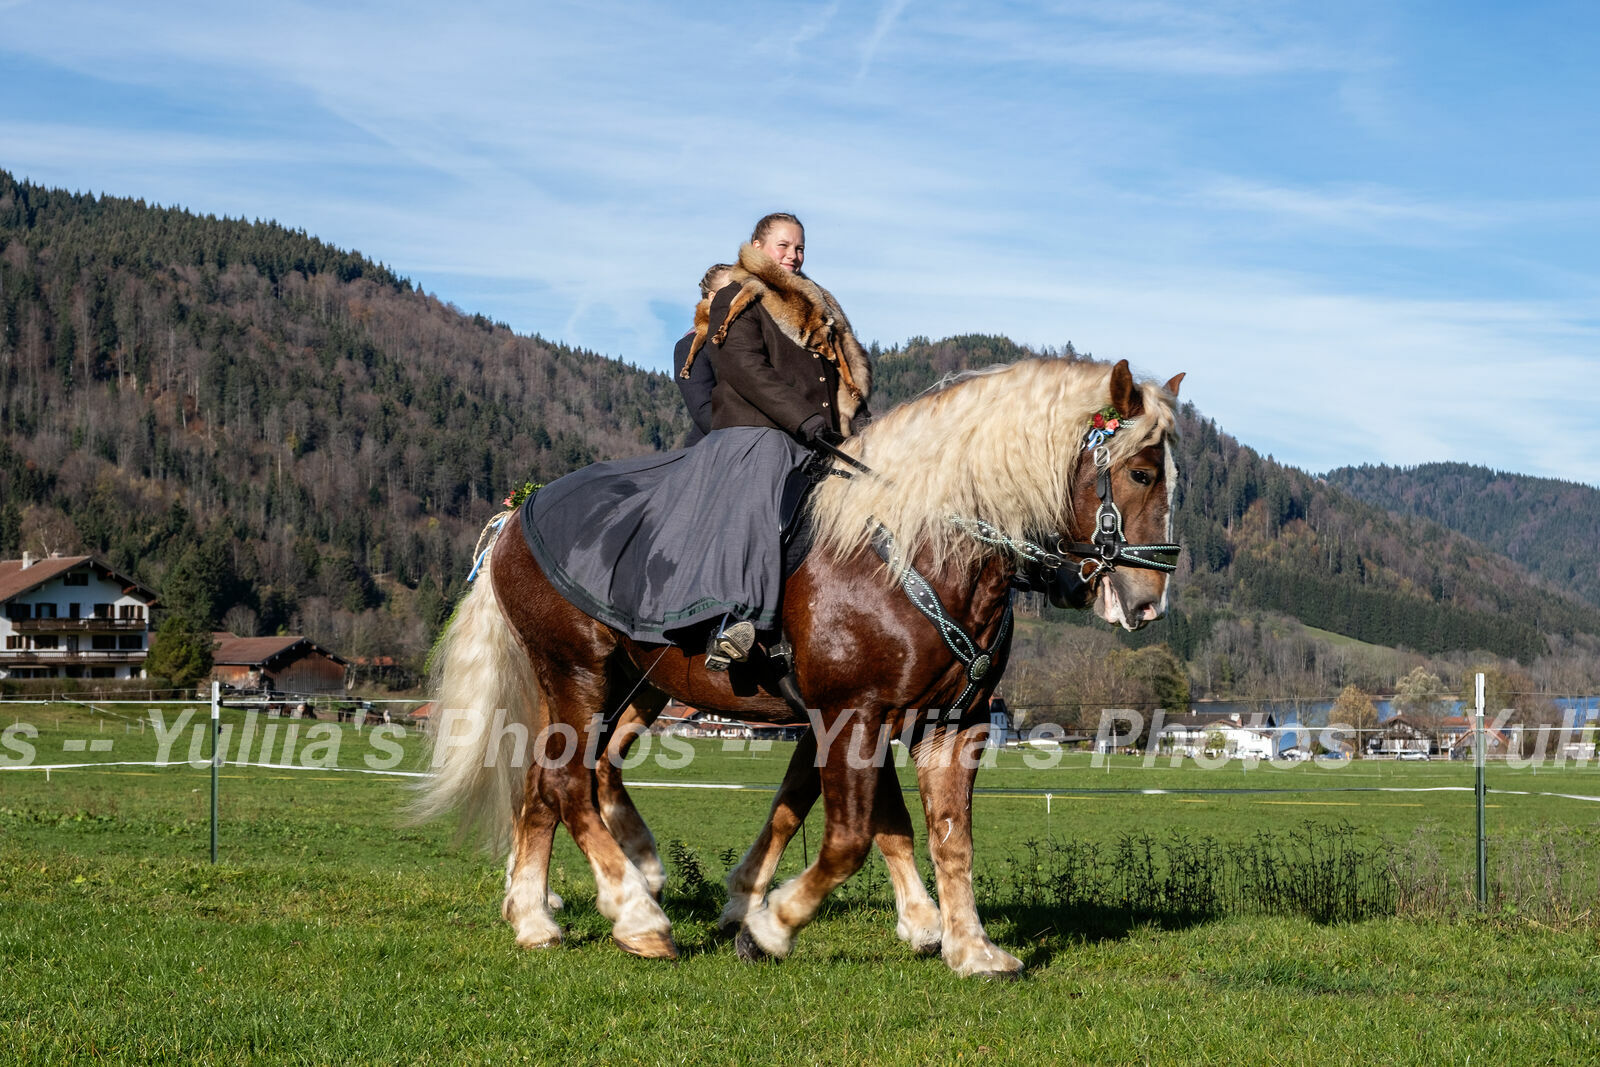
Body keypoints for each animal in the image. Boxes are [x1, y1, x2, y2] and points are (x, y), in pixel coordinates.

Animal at [419, 356, 1184, 979]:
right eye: (1142, 473)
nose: (1149, 600)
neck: (919, 551)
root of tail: (519, 513)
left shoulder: (947, 724)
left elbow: (941, 835)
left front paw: (968, 946)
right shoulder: (853, 715)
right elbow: (850, 835)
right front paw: (771, 926)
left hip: (620, 687)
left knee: (552, 781)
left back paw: (539, 911)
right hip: (579, 672)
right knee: (567, 780)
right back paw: (635, 914)